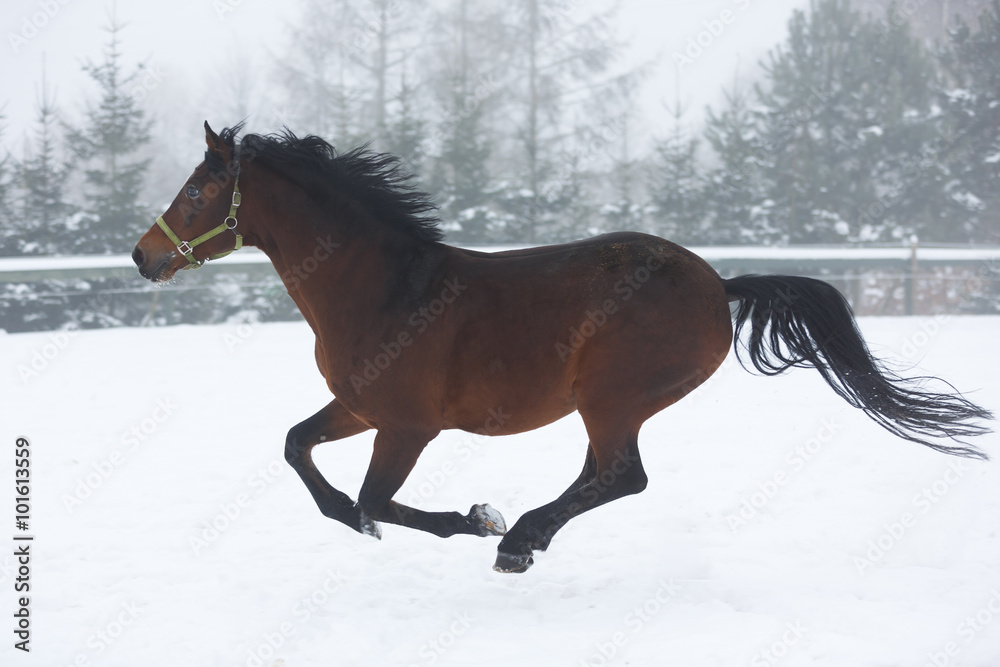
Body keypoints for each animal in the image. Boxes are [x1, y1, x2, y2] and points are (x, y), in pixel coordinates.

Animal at [133, 124, 992, 576]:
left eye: (200, 191)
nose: (144, 255)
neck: (387, 290)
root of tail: (719, 283)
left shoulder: (407, 426)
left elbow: (380, 498)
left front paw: (475, 518)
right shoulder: (358, 405)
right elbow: (297, 448)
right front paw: (354, 520)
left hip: (614, 397)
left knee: (622, 475)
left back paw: (515, 538)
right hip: (606, 403)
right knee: (601, 475)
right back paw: (526, 538)